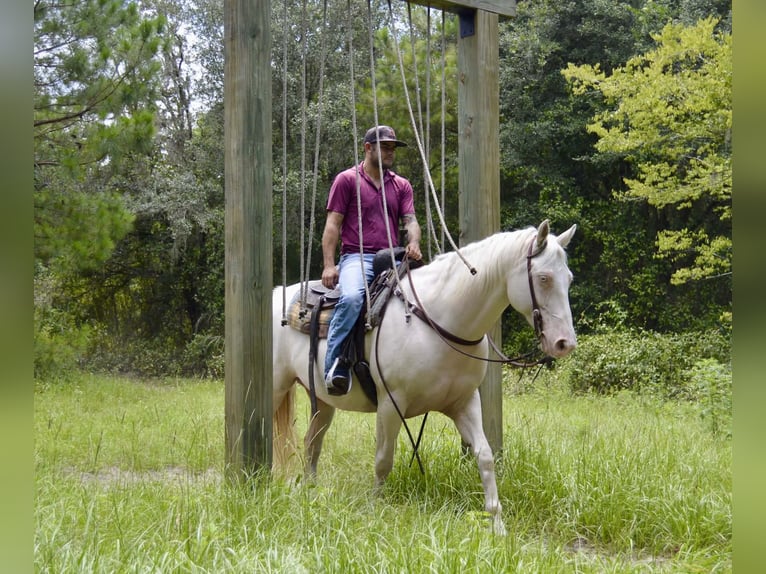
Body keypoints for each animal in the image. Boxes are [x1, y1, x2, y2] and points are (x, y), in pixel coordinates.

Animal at [272, 220, 577, 534]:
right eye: (543, 278)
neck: (439, 319)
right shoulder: (390, 404)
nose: (565, 343)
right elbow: (383, 460)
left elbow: (485, 455)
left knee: (312, 443)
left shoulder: (465, 402)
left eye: (568, 279)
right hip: (276, 388)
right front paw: (374, 509)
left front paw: (497, 524)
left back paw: (311, 491)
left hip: (322, 402)